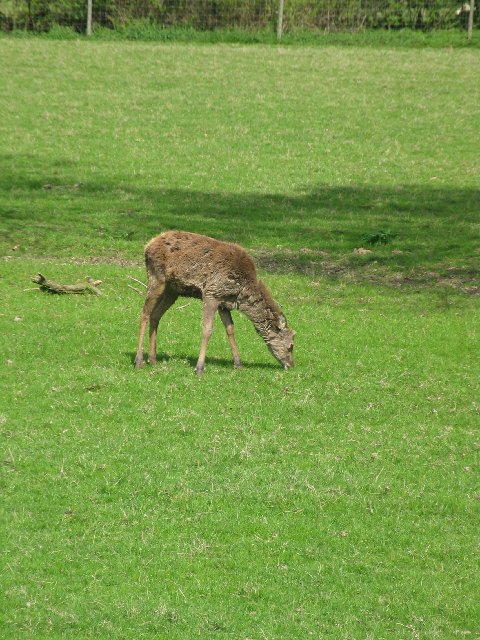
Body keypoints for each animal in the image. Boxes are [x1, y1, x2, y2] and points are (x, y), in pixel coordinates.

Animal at [133, 230, 294, 372]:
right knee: (144, 314)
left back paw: (153, 359)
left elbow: (230, 329)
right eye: (291, 345)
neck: (241, 292)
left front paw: (238, 364)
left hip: (172, 290)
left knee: (155, 315)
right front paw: (199, 367)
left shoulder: (224, 303)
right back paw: (139, 360)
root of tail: (148, 245)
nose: (291, 365)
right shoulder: (211, 294)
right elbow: (207, 329)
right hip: (156, 277)